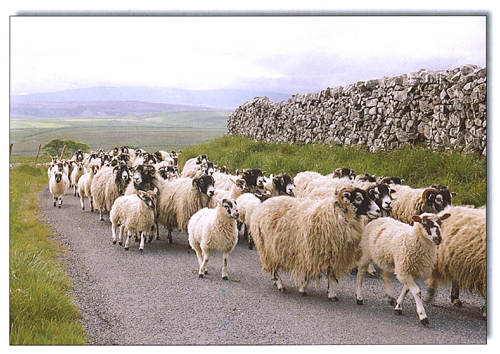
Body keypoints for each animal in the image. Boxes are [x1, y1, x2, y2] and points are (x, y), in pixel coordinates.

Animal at [248, 187, 380, 300]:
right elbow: (308, 273)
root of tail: (262, 205)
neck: (337, 215)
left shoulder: (334, 254)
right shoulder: (311, 253)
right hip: (266, 247)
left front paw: (331, 294)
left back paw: (276, 282)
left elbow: (331, 276)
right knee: (272, 267)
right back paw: (280, 285)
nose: (378, 210)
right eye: (358, 198)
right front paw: (302, 288)